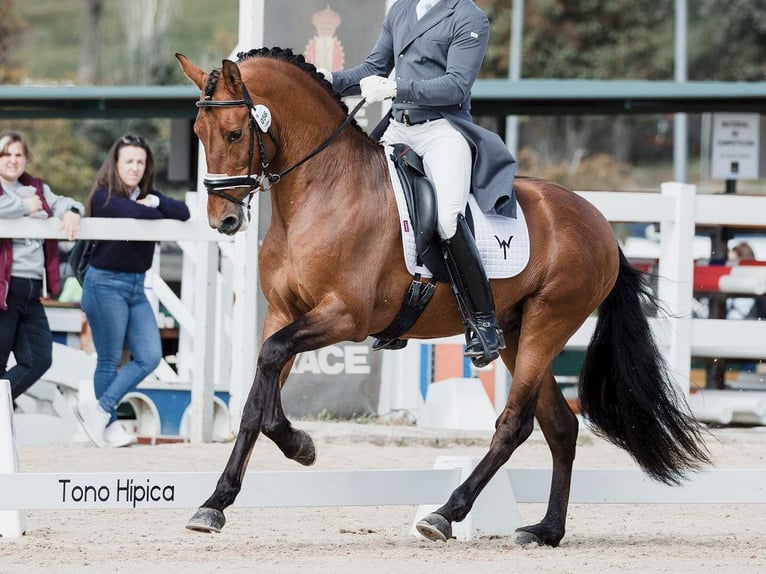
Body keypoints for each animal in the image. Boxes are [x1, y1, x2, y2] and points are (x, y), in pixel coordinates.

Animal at [176, 47, 712, 548]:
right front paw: (216, 502)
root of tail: (598, 221)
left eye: (233, 133)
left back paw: (445, 514)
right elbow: (255, 396)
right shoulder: (284, 312)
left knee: (515, 424)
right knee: (560, 426)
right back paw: (544, 530)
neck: (321, 191)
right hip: (518, 332)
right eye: (199, 133)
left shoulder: (345, 316)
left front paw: (299, 444)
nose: (223, 221)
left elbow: (270, 363)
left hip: (549, 322)